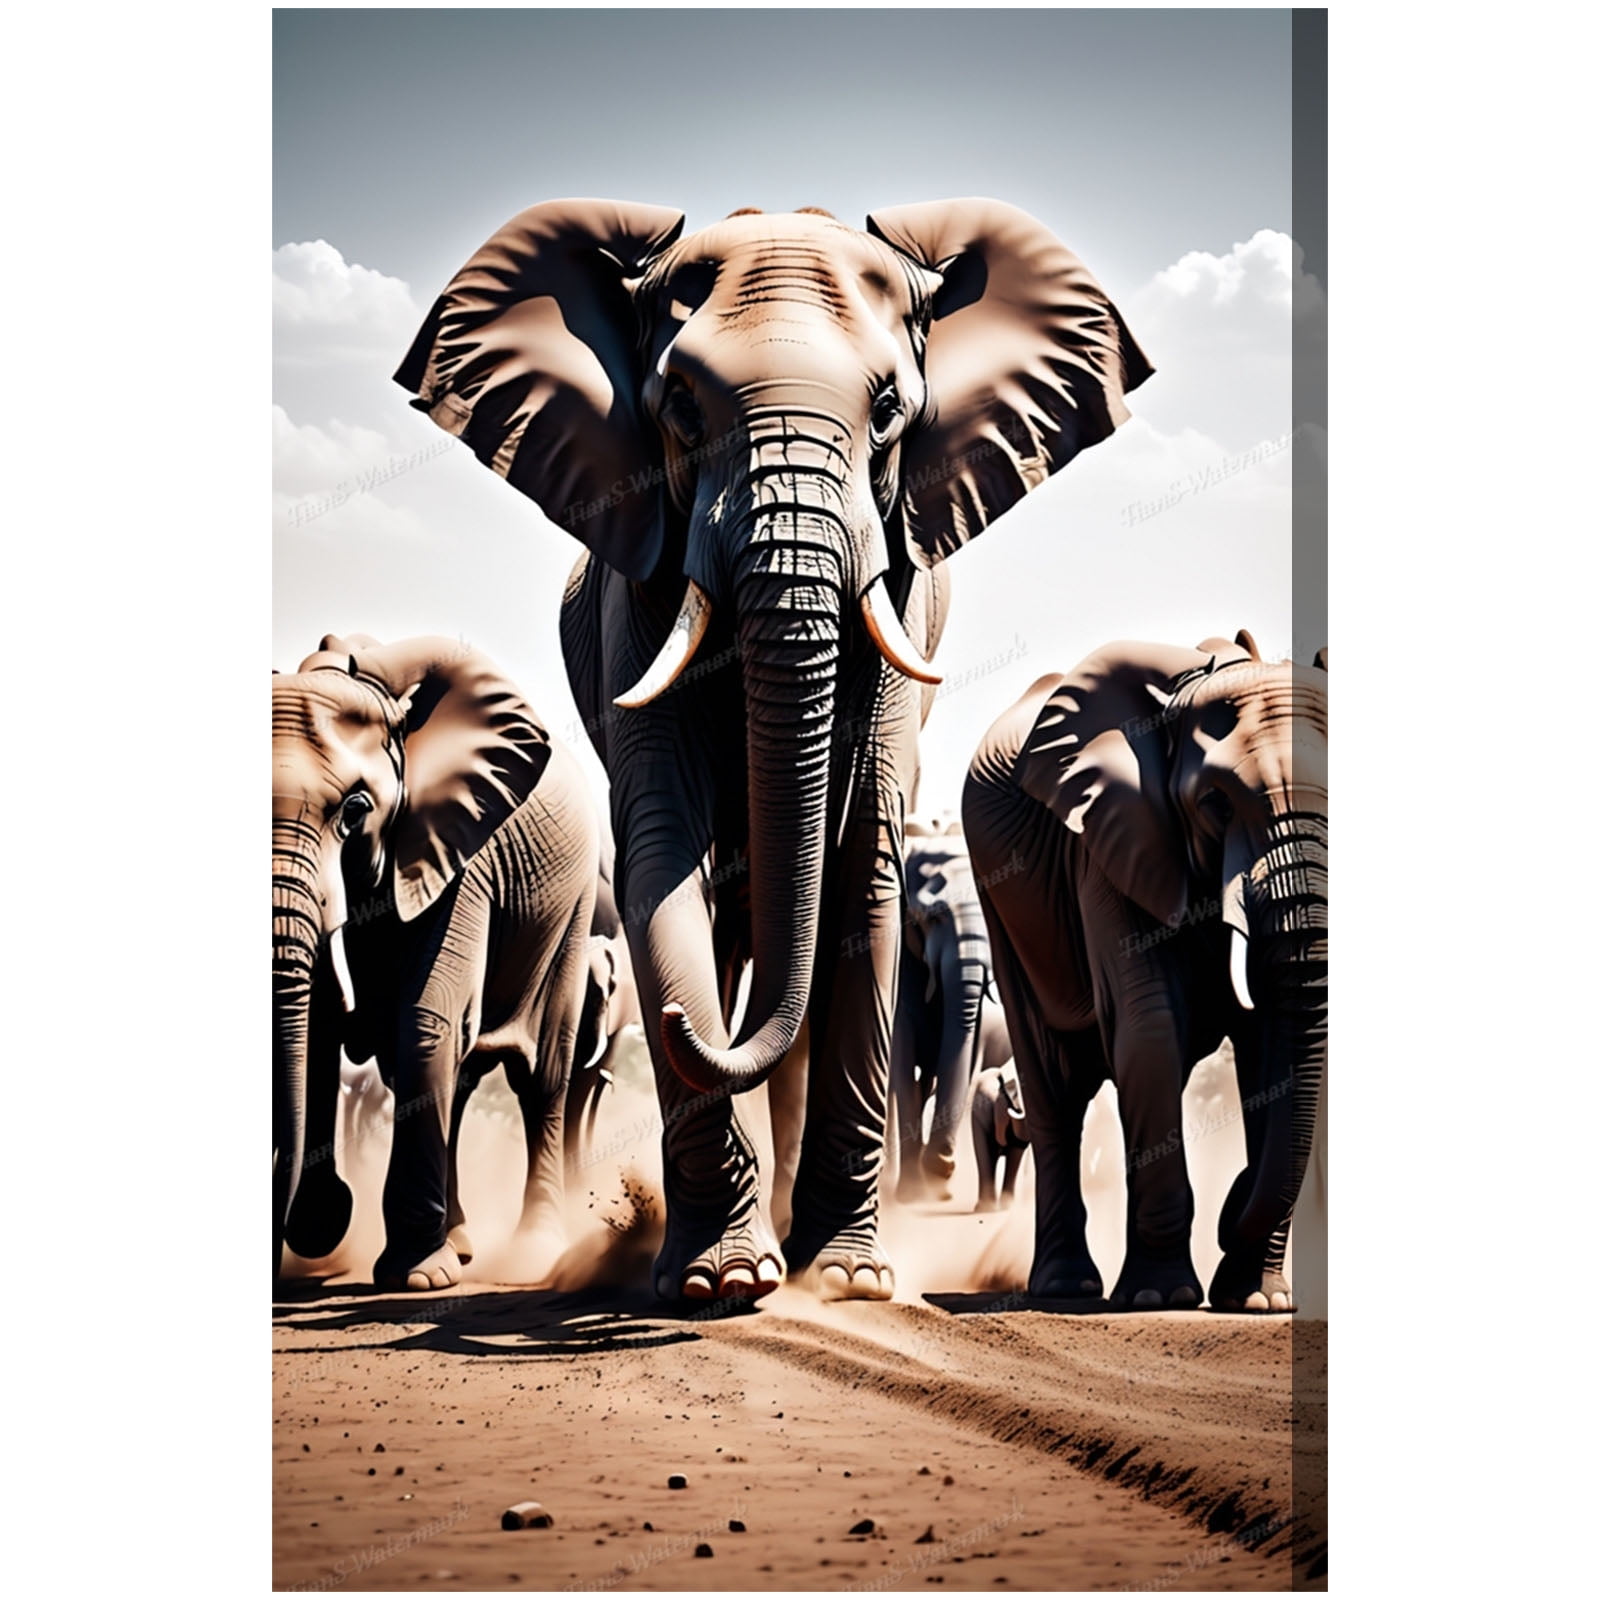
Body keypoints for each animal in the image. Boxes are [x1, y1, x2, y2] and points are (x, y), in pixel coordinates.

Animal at [272, 634, 599, 1291]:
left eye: (354, 811)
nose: (319, 1214)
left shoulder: (463, 850)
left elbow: (426, 1017)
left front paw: (415, 1279)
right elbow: (319, 1020)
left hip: (577, 907)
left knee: (543, 1076)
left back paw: (531, 1255)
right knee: (458, 1078)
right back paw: (462, 1245)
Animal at [889, 817, 1012, 1203]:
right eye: (933, 917)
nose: (945, 1166)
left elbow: (965, 1055)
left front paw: (936, 1180)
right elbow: (902, 1052)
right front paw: (914, 1191)